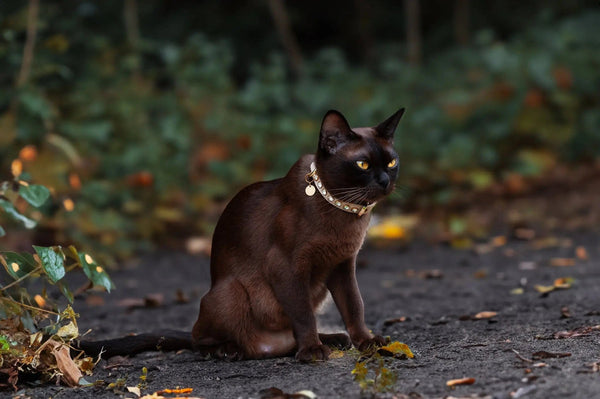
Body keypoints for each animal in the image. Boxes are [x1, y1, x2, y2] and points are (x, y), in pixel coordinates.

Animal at [76, 108, 404, 362]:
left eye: (391, 162)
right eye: (362, 164)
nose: (385, 181)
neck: (342, 209)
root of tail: (266, 347)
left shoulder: (342, 265)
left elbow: (354, 307)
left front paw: (367, 342)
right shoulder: (287, 267)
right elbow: (303, 314)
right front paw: (312, 352)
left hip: (316, 292)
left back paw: (334, 339)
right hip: (231, 290)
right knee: (199, 339)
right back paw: (230, 350)